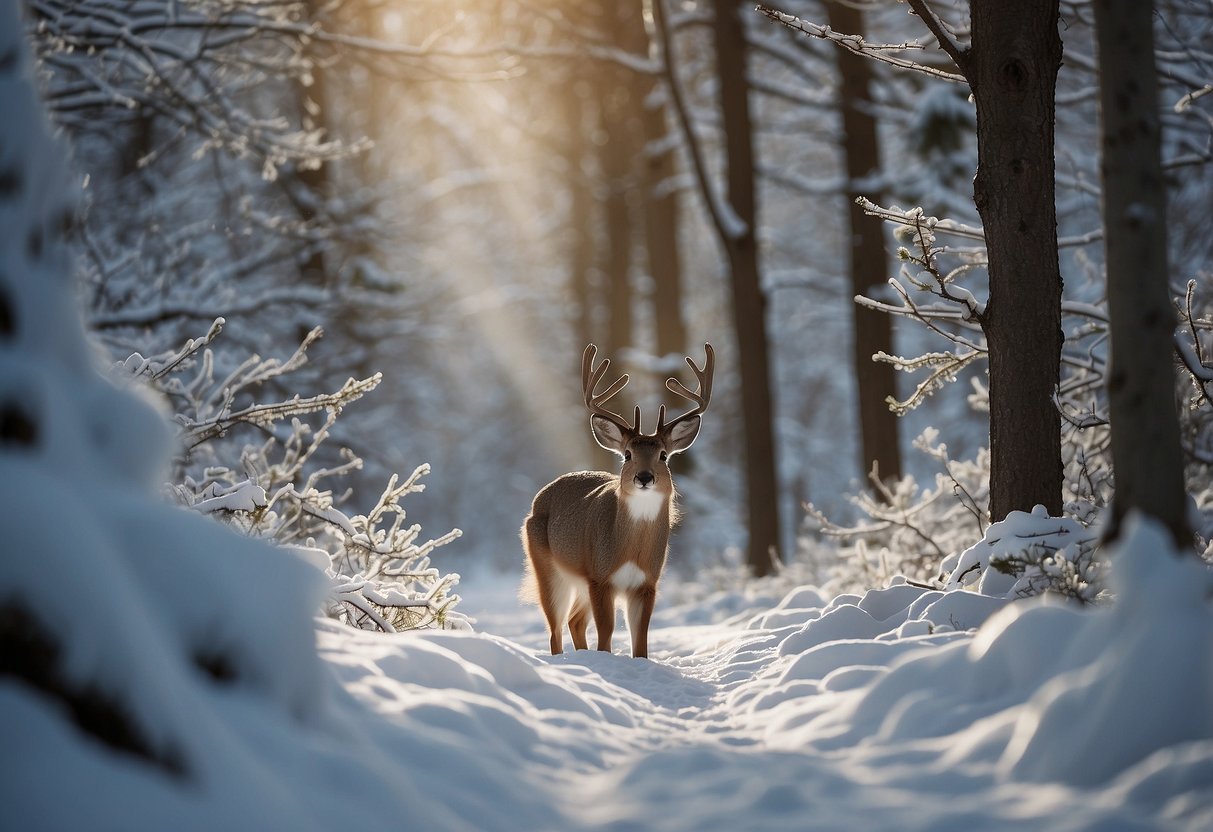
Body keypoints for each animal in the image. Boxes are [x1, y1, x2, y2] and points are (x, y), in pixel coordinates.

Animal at [519, 342, 708, 659]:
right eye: (628, 454)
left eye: (663, 456)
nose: (644, 477)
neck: (630, 549)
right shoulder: (600, 576)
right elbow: (605, 637)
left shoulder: (647, 583)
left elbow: (641, 642)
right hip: (549, 568)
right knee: (555, 629)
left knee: (574, 621)